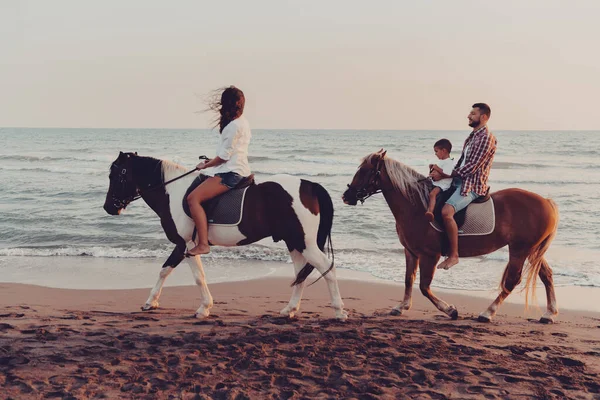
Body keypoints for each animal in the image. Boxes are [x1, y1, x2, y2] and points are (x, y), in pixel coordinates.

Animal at [103, 152, 346, 320]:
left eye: (115, 175)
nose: (109, 207)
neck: (172, 192)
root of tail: (309, 185)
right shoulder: (184, 246)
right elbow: (165, 270)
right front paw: (150, 303)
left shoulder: (186, 244)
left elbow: (196, 277)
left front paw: (203, 309)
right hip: (294, 243)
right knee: (301, 274)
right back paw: (289, 310)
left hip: (305, 243)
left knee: (327, 268)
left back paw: (339, 312)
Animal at [342, 150, 564, 322]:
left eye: (365, 171)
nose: (346, 196)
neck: (416, 206)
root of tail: (546, 202)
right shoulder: (411, 252)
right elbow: (408, 279)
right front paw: (402, 306)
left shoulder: (429, 255)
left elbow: (424, 286)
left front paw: (450, 310)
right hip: (533, 250)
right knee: (546, 275)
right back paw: (549, 314)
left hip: (520, 249)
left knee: (512, 281)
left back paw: (487, 313)